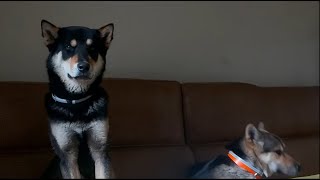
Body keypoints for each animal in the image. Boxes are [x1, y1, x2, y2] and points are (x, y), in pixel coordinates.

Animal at [40, 19, 114, 179]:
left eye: (92, 48)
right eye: (68, 47)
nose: (83, 67)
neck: (77, 100)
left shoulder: (100, 149)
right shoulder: (67, 154)